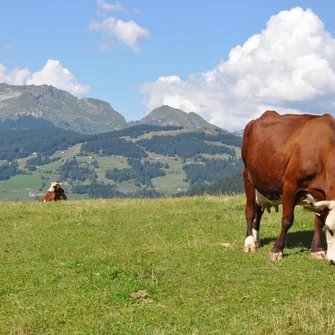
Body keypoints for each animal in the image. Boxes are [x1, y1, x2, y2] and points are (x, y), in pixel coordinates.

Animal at [243, 112, 335, 266]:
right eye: (330, 230)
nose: (333, 261)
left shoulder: (321, 194)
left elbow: (319, 221)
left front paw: (317, 250)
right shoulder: (290, 185)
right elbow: (287, 220)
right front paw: (276, 250)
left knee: (258, 210)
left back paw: (256, 238)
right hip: (248, 175)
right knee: (250, 211)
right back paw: (249, 242)